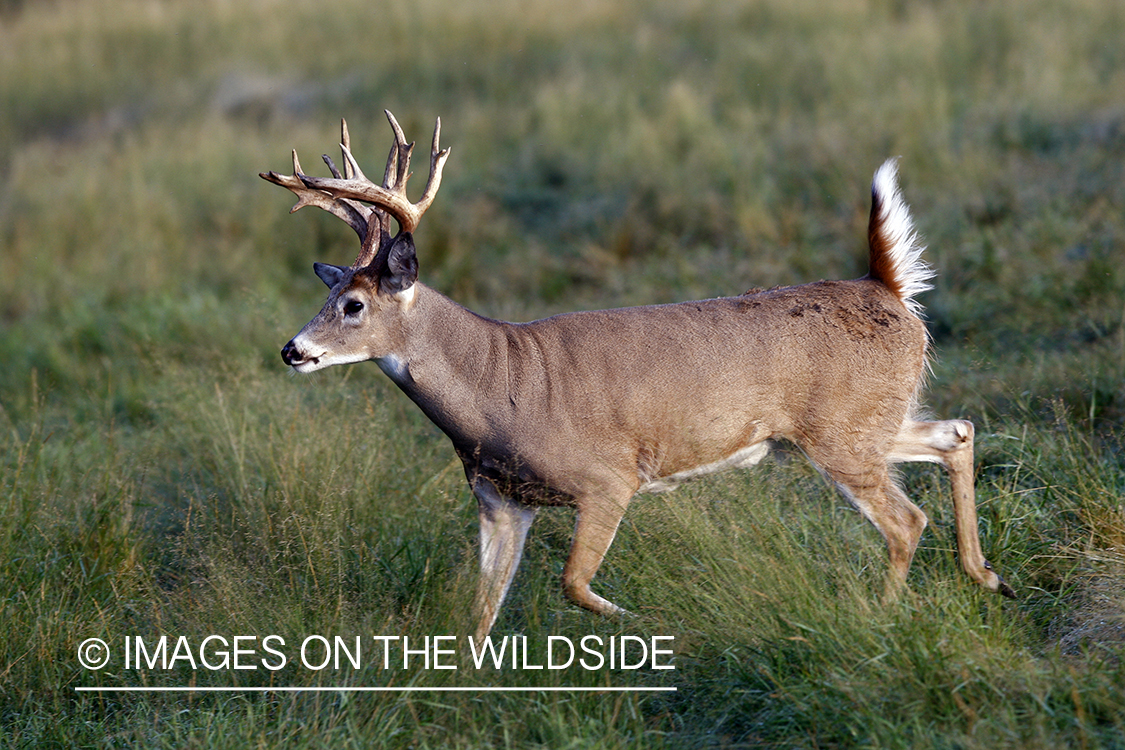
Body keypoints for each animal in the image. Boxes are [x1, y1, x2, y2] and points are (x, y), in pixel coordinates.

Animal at [258, 111, 1017, 638]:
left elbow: (571, 583)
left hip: (840, 434)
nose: (292, 350)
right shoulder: (500, 500)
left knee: (906, 520)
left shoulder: (607, 479)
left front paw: (644, 621)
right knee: (957, 431)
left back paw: (881, 616)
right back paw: (987, 577)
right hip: (858, 424)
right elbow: (481, 610)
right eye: (328, 292)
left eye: (354, 305)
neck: (500, 386)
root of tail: (887, 288)